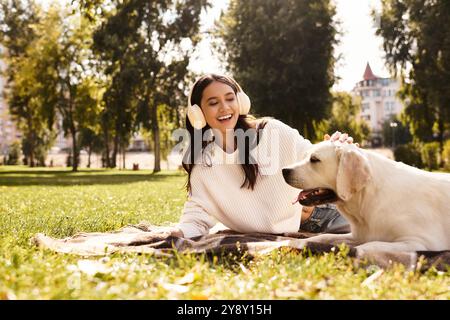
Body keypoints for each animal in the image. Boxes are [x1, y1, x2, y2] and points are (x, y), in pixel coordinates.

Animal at [282, 142, 450, 252]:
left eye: (315, 159)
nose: (284, 170)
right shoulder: (358, 235)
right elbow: (321, 237)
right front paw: (292, 243)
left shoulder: (418, 242)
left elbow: (368, 246)